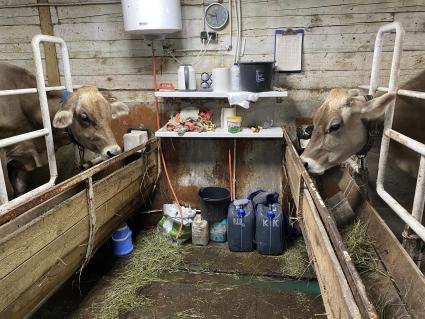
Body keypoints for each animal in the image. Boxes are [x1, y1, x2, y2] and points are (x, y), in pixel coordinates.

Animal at [0, 63, 129, 199]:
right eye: (84, 117)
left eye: (109, 114)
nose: (114, 151)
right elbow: (9, 192)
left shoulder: (19, 161)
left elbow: (20, 189)